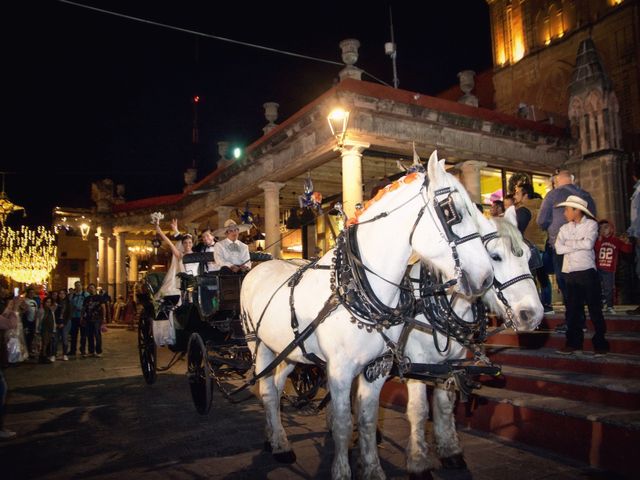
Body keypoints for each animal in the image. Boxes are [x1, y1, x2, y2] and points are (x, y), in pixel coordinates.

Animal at [240, 152, 496, 478]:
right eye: (451, 211)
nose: (485, 277)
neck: (356, 286)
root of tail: (258, 265)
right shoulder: (339, 370)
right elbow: (342, 423)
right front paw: (341, 470)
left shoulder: (377, 368)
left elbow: (367, 419)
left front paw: (373, 469)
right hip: (258, 345)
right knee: (267, 391)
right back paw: (281, 445)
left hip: (288, 352)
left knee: (274, 383)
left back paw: (272, 436)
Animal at [402, 209, 544, 476]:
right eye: (495, 256)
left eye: (530, 256)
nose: (533, 315)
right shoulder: (415, 363)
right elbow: (419, 409)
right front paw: (417, 462)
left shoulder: (450, 363)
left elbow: (444, 405)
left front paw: (451, 452)